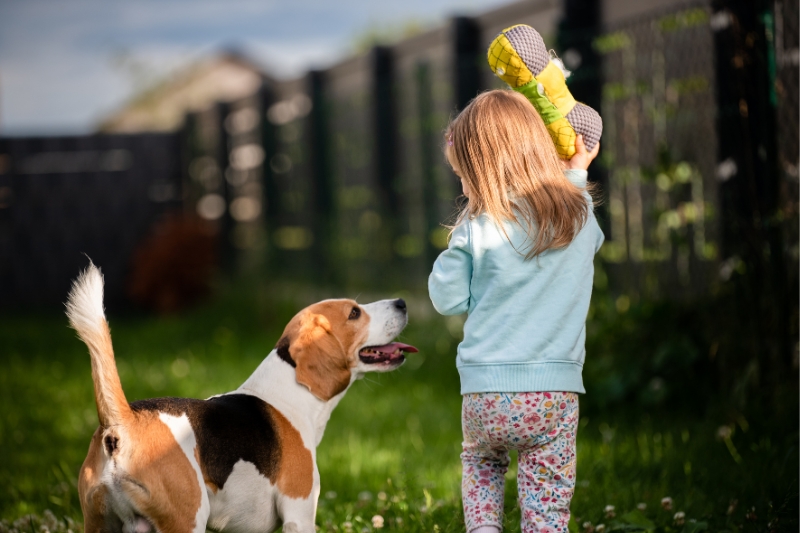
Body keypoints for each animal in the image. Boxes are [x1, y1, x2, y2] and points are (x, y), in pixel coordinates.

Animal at [68, 264, 416, 532]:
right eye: (355, 313)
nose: (402, 302)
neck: (290, 392)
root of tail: (123, 422)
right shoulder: (299, 512)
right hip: (187, 519)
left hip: (101, 523)